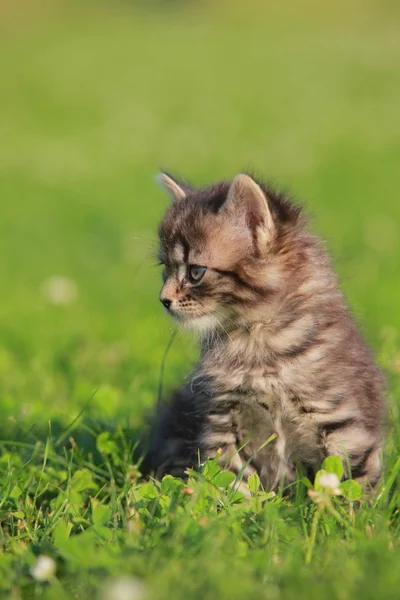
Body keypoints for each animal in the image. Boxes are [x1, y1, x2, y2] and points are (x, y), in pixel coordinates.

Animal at [145, 171, 386, 490]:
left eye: (196, 272)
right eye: (166, 268)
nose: (163, 300)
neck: (257, 339)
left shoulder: (343, 421)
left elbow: (352, 483)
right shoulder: (223, 419)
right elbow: (229, 479)